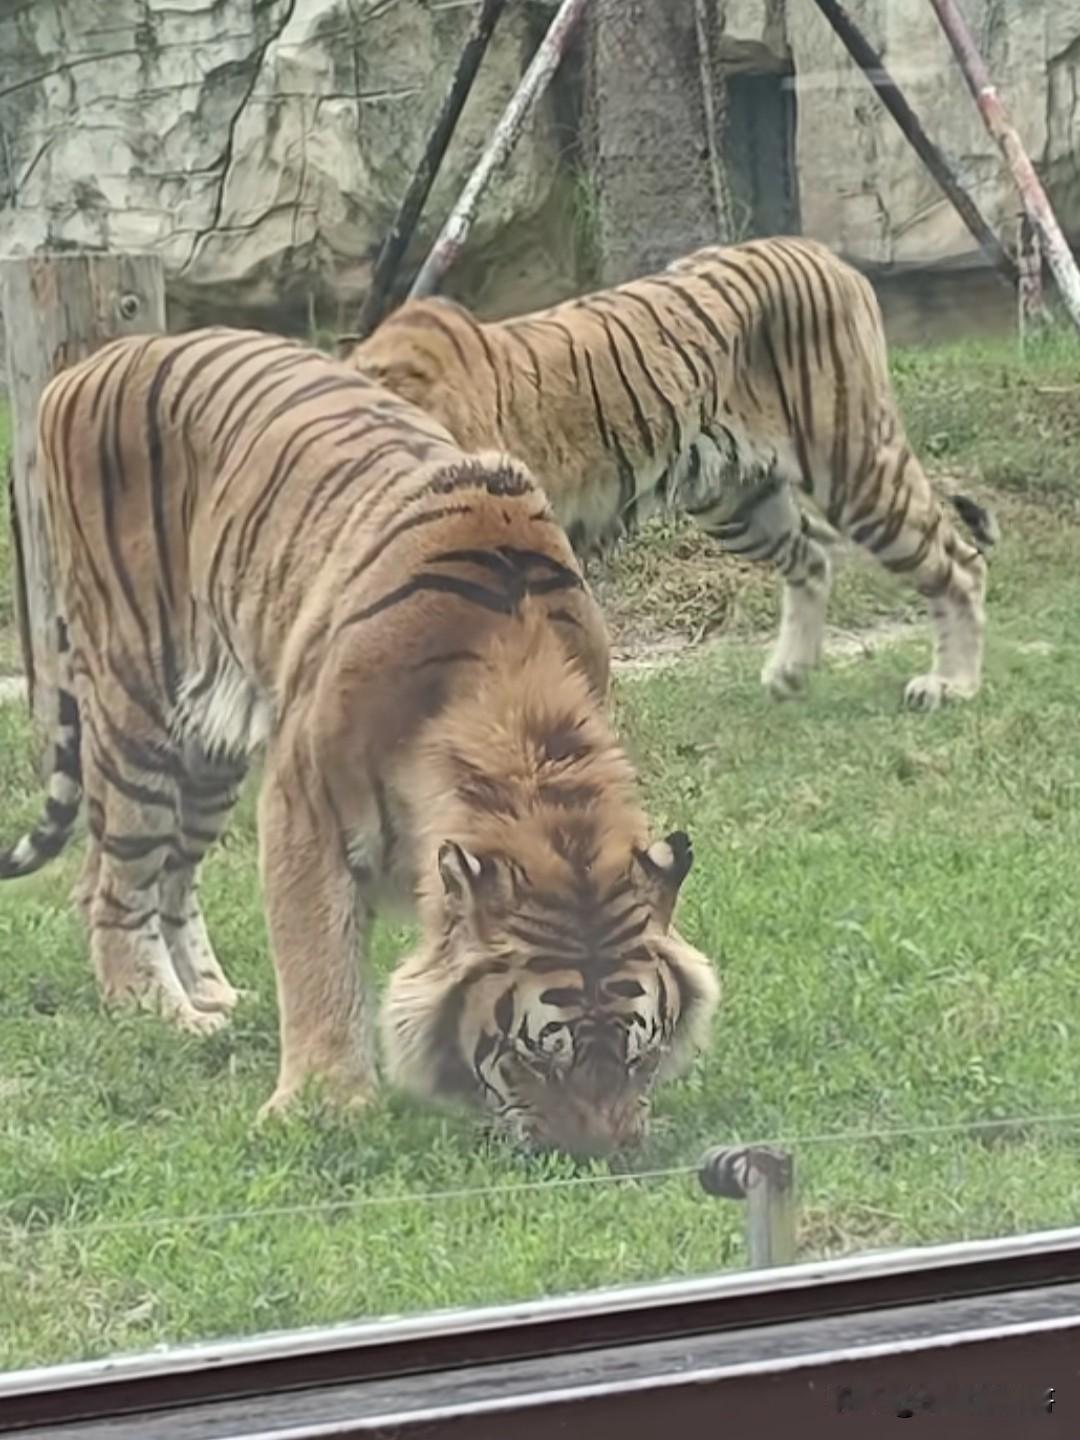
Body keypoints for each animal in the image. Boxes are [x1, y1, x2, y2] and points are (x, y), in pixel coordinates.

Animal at [0, 326, 719, 1157]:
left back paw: (216, 998)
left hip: (209, 744)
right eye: (539, 1055)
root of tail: (95, 361)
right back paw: (159, 1010)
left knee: (163, 877)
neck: (522, 729)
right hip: (138, 704)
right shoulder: (303, 800)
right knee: (116, 881)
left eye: (638, 1053)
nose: (597, 1158)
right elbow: (316, 955)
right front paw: (324, 1104)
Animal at [342, 235, 999, 712]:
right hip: (738, 502)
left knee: (957, 562)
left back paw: (952, 685)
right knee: (812, 558)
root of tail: (826, 254)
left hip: (854, 464)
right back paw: (790, 674)